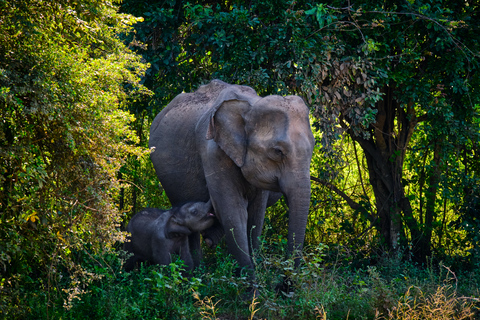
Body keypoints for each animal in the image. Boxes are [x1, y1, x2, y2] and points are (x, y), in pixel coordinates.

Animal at [150, 80, 316, 276]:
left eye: (313, 147)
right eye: (278, 151)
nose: (288, 279)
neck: (250, 105)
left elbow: (255, 215)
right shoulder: (213, 153)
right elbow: (233, 211)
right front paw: (249, 279)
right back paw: (197, 273)